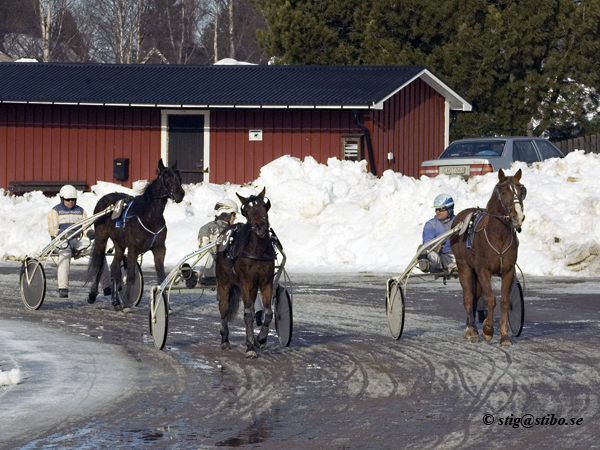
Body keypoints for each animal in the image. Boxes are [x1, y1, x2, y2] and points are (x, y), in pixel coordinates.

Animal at [87, 160, 183, 312]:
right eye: (167, 177)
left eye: (179, 178)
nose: (181, 194)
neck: (149, 216)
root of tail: (104, 199)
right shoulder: (133, 249)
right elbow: (131, 276)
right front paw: (127, 302)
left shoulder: (159, 248)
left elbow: (161, 277)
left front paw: (166, 306)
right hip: (101, 237)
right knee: (98, 262)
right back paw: (92, 294)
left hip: (119, 243)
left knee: (114, 268)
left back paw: (116, 302)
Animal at [216, 187, 276, 358]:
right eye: (247, 211)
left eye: (263, 205)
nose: (260, 225)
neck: (258, 251)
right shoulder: (246, 283)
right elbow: (248, 314)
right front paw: (250, 347)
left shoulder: (266, 282)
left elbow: (268, 313)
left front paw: (260, 339)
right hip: (223, 283)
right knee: (223, 308)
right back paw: (224, 339)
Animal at [450, 170, 524, 348]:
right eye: (503, 191)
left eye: (521, 190)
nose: (517, 216)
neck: (498, 236)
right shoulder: (483, 270)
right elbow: (491, 299)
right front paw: (488, 330)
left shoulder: (508, 271)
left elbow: (504, 302)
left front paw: (504, 335)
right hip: (464, 266)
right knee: (468, 297)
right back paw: (472, 331)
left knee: (475, 298)